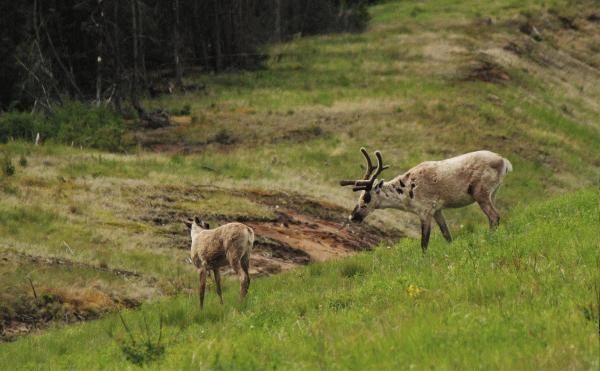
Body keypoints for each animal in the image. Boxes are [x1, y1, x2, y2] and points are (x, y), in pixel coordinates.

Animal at [340, 150, 512, 251]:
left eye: (366, 198)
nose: (352, 216)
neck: (406, 193)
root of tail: (504, 161)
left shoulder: (425, 210)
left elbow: (424, 242)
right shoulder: (437, 210)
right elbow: (447, 235)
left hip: (480, 193)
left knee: (494, 216)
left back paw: (490, 241)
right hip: (493, 193)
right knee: (494, 217)